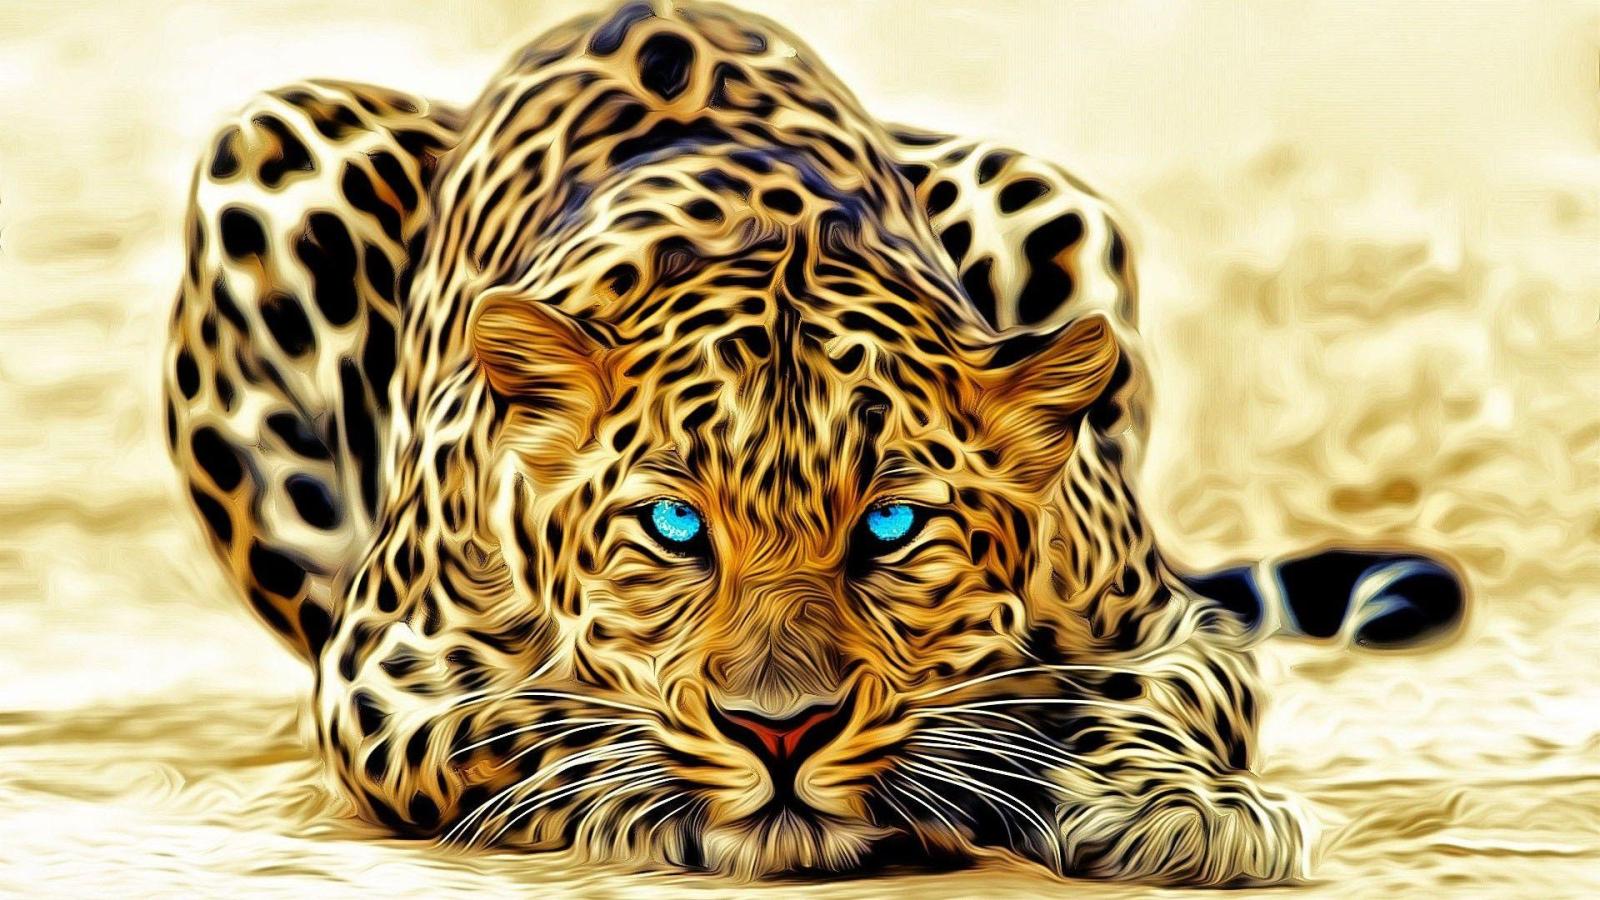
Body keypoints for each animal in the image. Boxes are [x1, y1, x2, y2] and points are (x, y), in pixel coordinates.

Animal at [162, 0, 1464, 884]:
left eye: (890, 525)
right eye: (673, 525)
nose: (780, 731)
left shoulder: (1163, 623)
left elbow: (1151, 697)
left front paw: (1177, 809)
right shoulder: (385, 669)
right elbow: (527, 725)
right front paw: (661, 796)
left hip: (1046, 193)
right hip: (269, 149)